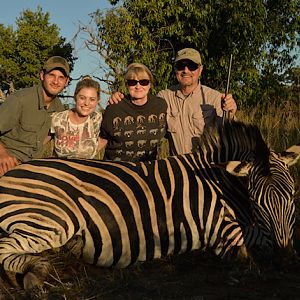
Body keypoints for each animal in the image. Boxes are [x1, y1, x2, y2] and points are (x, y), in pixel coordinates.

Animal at [0, 120, 298, 290]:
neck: (218, 181)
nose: (286, 261)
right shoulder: (218, 228)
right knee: (5, 248)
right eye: (257, 202)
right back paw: (34, 273)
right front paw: (251, 258)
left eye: (292, 196)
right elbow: (255, 240)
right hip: (51, 219)